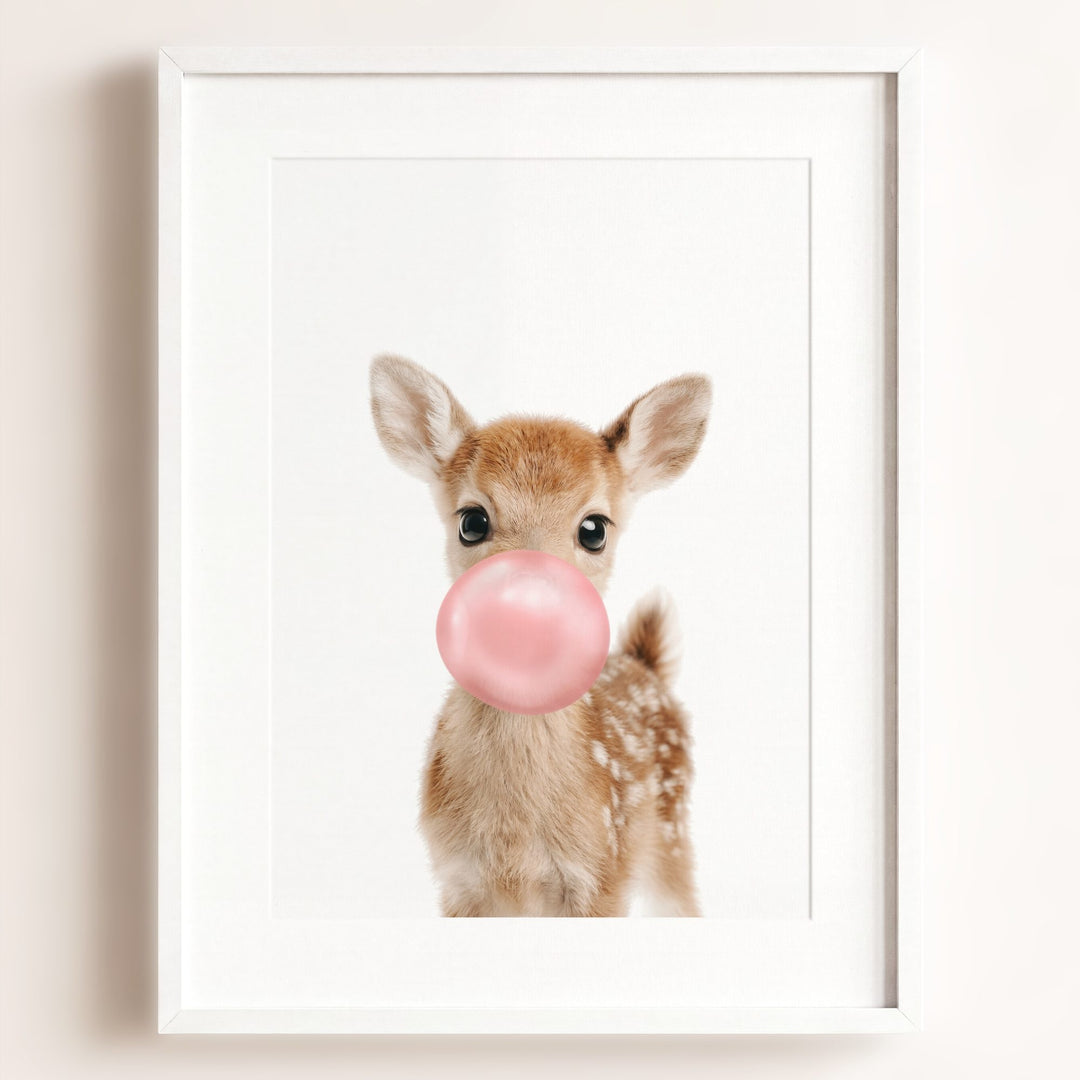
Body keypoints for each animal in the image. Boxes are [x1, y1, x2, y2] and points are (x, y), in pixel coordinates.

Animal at [370, 355, 712, 916]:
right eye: (472, 521)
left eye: (594, 529)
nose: (530, 600)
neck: (515, 842)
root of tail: (645, 663)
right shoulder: (458, 881)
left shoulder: (602, 875)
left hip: (672, 834)